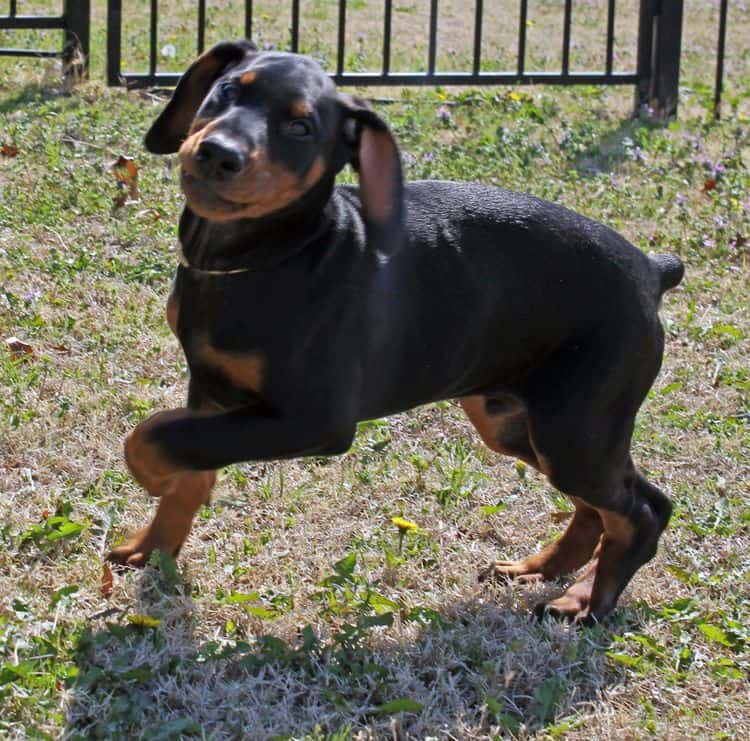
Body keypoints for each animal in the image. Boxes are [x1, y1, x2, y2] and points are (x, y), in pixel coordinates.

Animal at [107, 39, 688, 620]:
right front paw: (153, 548)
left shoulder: (315, 420)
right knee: (608, 504)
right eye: (228, 89)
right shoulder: (208, 381)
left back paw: (585, 602)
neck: (258, 257)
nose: (217, 153)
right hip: (519, 422)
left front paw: (152, 478)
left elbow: (153, 436)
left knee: (643, 510)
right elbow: (187, 455)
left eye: (300, 127)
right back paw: (541, 569)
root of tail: (649, 271)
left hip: (574, 427)